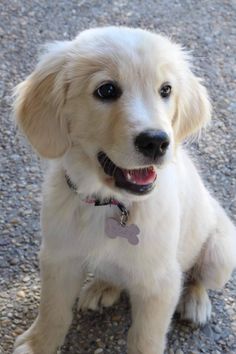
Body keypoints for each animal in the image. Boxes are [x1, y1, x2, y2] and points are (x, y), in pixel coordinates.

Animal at [12, 26, 236, 352]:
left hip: (220, 253)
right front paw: (38, 343)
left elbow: (145, 337)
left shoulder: (161, 281)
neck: (112, 204)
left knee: (197, 278)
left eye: (166, 90)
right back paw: (103, 286)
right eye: (106, 90)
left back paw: (195, 302)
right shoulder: (58, 256)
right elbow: (53, 309)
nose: (156, 142)